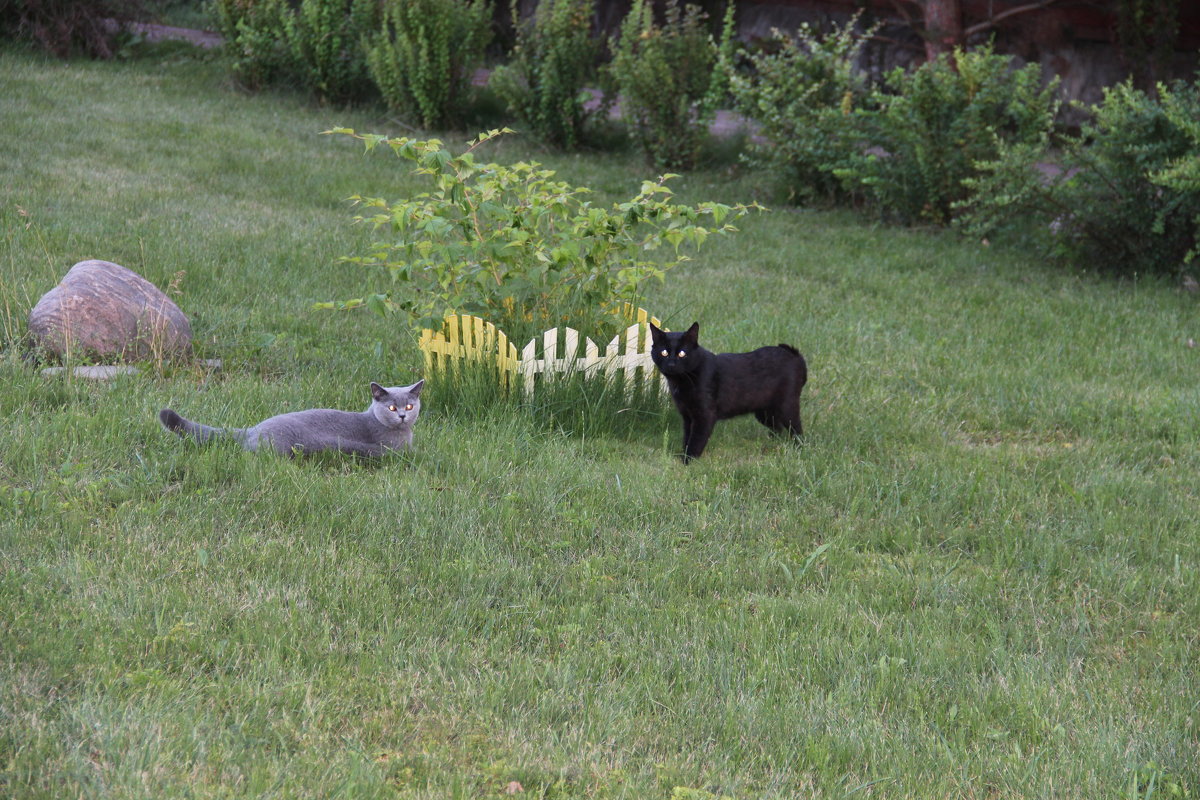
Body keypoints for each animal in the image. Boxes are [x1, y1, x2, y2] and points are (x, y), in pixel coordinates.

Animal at [648, 321, 806, 462]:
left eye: (682, 353)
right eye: (664, 352)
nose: (671, 364)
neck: (683, 381)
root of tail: (795, 356)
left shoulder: (704, 415)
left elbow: (696, 439)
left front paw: (688, 461)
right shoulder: (687, 416)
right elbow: (687, 437)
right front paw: (683, 456)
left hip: (787, 407)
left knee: (797, 430)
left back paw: (799, 449)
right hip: (764, 412)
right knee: (777, 427)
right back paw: (771, 444)